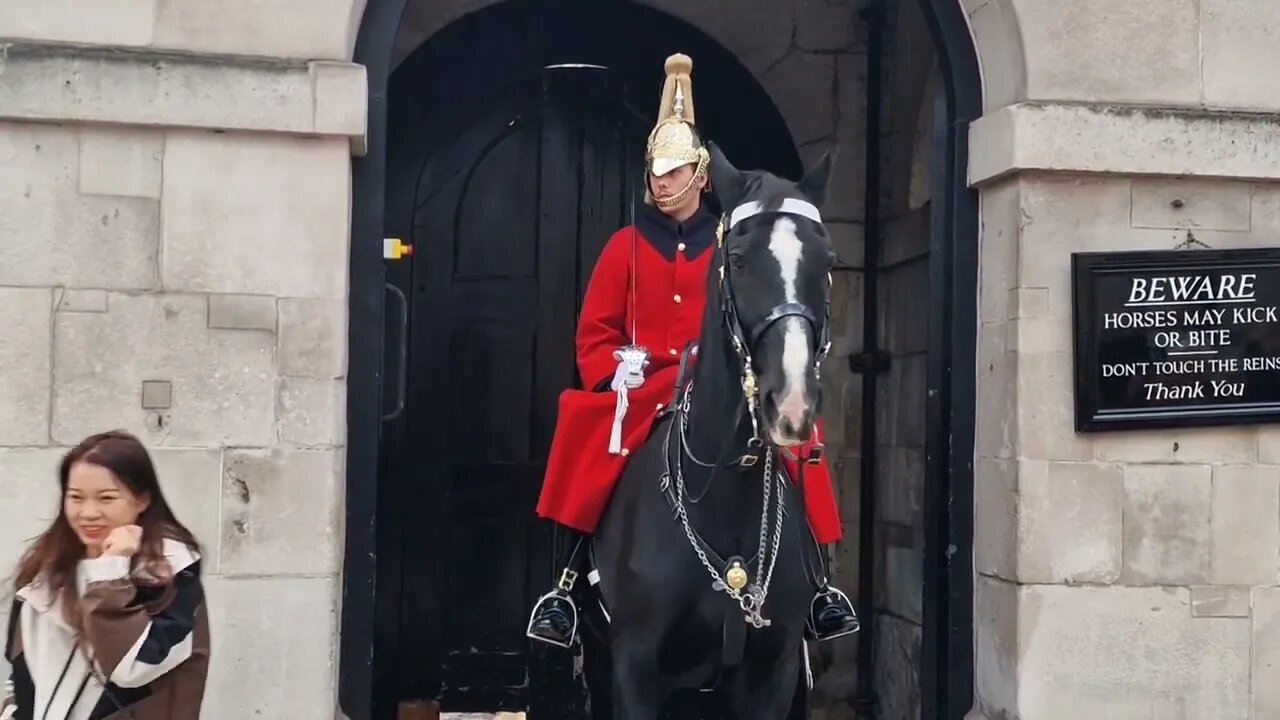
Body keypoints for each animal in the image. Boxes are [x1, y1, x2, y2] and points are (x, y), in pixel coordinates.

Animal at [578, 142, 839, 712]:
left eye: (827, 263)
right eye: (737, 262)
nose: (790, 404)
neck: (724, 492)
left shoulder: (774, 672)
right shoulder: (635, 671)